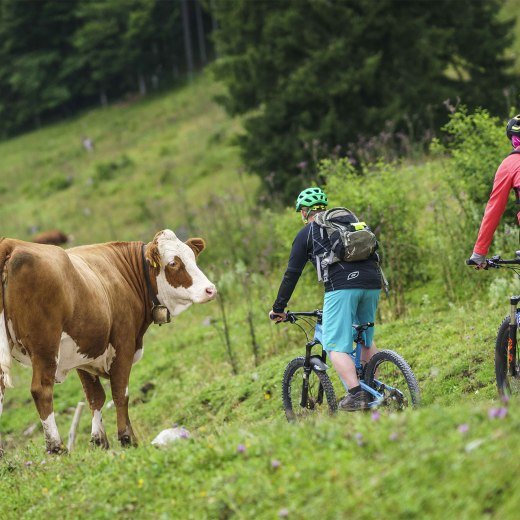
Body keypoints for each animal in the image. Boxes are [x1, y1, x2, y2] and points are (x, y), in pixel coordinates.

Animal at [0, 230, 215, 452]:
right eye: (173, 263)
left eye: (193, 257)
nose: (210, 289)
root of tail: (12, 243)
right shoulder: (123, 344)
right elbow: (120, 392)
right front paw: (127, 438)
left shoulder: (84, 353)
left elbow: (95, 397)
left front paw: (99, 440)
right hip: (45, 347)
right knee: (41, 390)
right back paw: (56, 447)